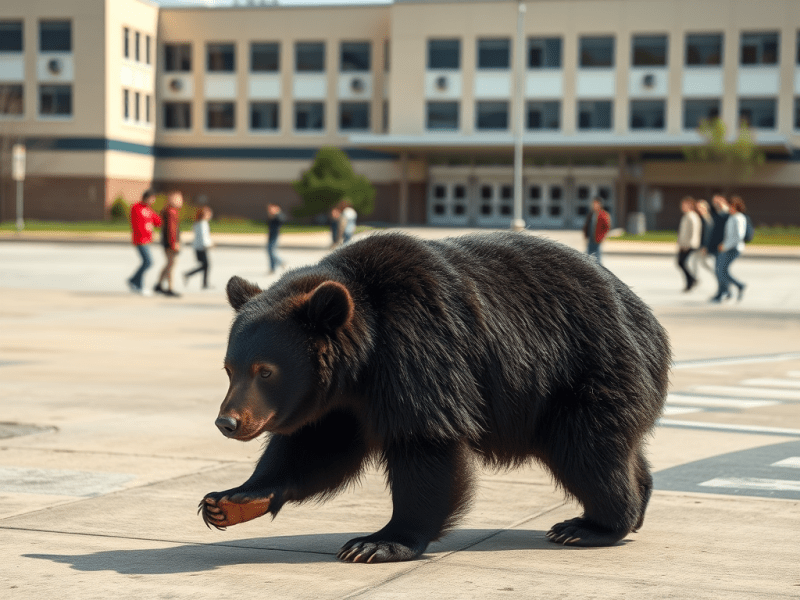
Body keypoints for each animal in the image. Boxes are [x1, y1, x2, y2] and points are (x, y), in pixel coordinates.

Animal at [199, 231, 670, 563]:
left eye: (266, 370)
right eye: (229, 368)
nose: (228, 422)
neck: (364, 358)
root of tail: (649, 319)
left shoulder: (420, 351)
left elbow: (424, 447)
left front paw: (377, 543)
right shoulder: (342, 402)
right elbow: (317, 447)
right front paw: (229, 501)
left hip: (585, 370)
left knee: (587, 450)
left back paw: (590, 526)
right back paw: (635, 503)